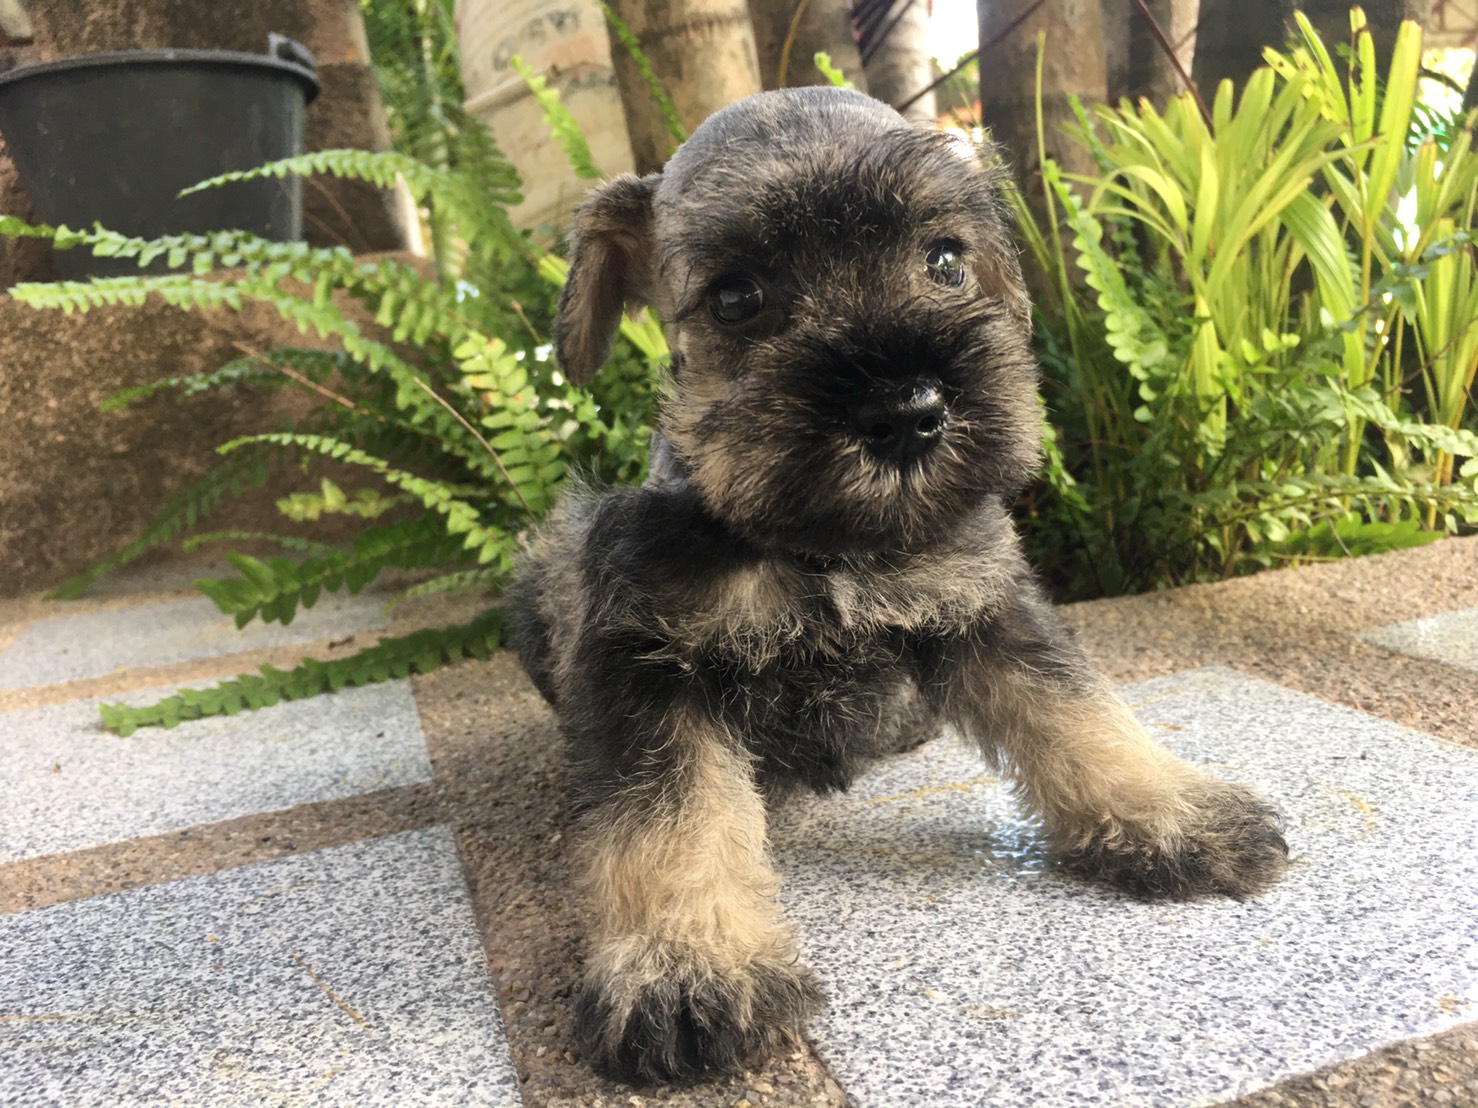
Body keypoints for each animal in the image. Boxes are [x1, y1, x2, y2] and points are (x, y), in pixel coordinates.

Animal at [507, 86, 1289, 1085]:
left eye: (946, 260)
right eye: (737, 296)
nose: (908, 412)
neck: (827, 550)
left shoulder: (986, 603)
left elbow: (1079, 713)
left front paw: (1178, 815)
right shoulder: (648, 663)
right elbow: (667, 822)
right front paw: (685, 969)